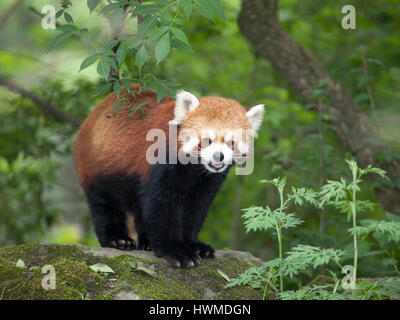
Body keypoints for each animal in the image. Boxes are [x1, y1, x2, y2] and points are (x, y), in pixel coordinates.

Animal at [74, 85, 262, 268]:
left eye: (231, 142)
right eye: (207, 140)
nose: (219, 157)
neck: (195, 168)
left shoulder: (206, 182)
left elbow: (195, 209)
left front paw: (194, 245)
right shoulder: (161, 161)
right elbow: (162, 205)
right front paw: (177, 251)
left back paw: (147, 243)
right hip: (98, 167)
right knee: (105, 204)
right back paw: (117, 239)